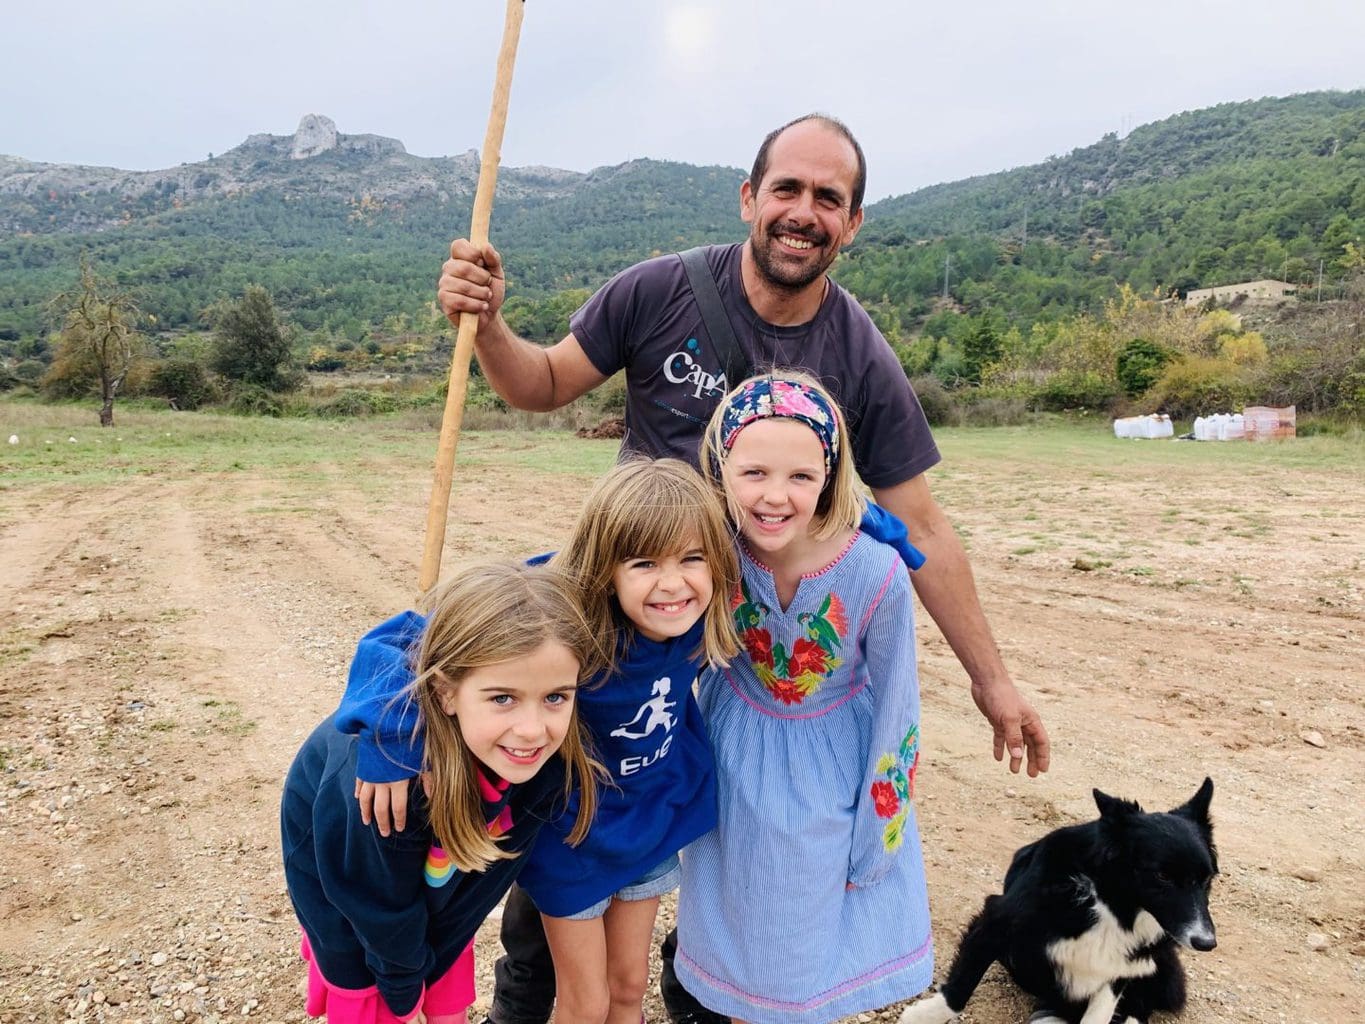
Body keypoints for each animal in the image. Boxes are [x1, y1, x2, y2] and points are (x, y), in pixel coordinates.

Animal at [900, 780, 1223, 1024]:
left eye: (1207, 878)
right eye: (1162, 876)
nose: (1206, 942)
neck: (1108, 905)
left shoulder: (1122, 964)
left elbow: (1101, 1011)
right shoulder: (998, 918)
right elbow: (961, 984)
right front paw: (923, 1015)